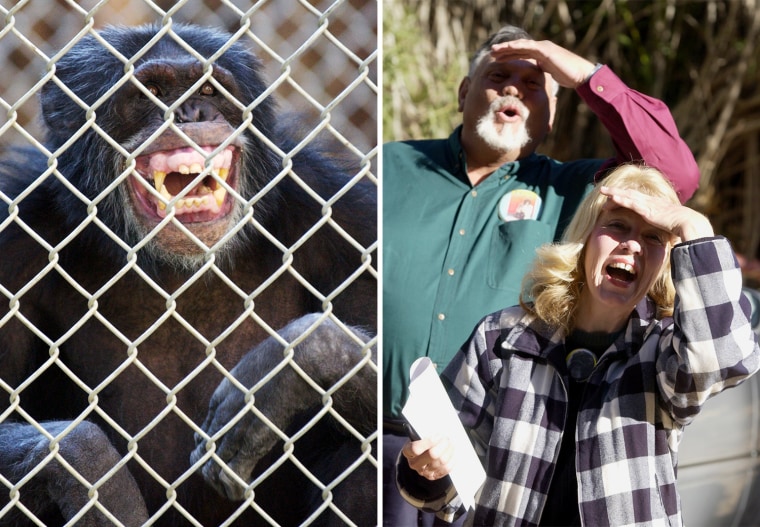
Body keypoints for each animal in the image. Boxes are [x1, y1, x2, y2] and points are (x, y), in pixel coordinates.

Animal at [0, 22, 378, 524]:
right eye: (151, 92)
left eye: (209, 90)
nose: (191, 112)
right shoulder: (12, 250)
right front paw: (89, 470)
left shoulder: (348, 223)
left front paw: (288, 366)